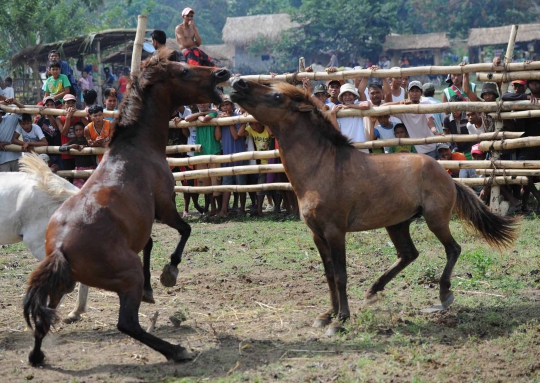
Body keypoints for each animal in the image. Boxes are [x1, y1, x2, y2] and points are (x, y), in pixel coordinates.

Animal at [23, 51, 230, 366]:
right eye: (183, 71)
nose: (222, 73)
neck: (137, 147)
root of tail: (60, 247)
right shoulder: (165, 206)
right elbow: (185, 230)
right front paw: (169, 273)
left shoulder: (142, 223)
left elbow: (150, 243)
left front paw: (150, 289)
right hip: (127, 275)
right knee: (127, 324)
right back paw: (176, 350)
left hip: (59, 286)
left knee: (44, 318)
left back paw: (37, 356)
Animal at [230, 79, 516, 336]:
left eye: (277, 96)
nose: (237, 84)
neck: (322, 167)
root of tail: (447, 176)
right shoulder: (317, 234)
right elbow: (329, 274)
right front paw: (327, 315)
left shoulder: (335, 231)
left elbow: (341, 275)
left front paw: (340, 320)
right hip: (397, 223)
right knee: (409, 254)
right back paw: (372, 291)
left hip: (435, 219)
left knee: (453, 249)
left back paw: (444, 294)